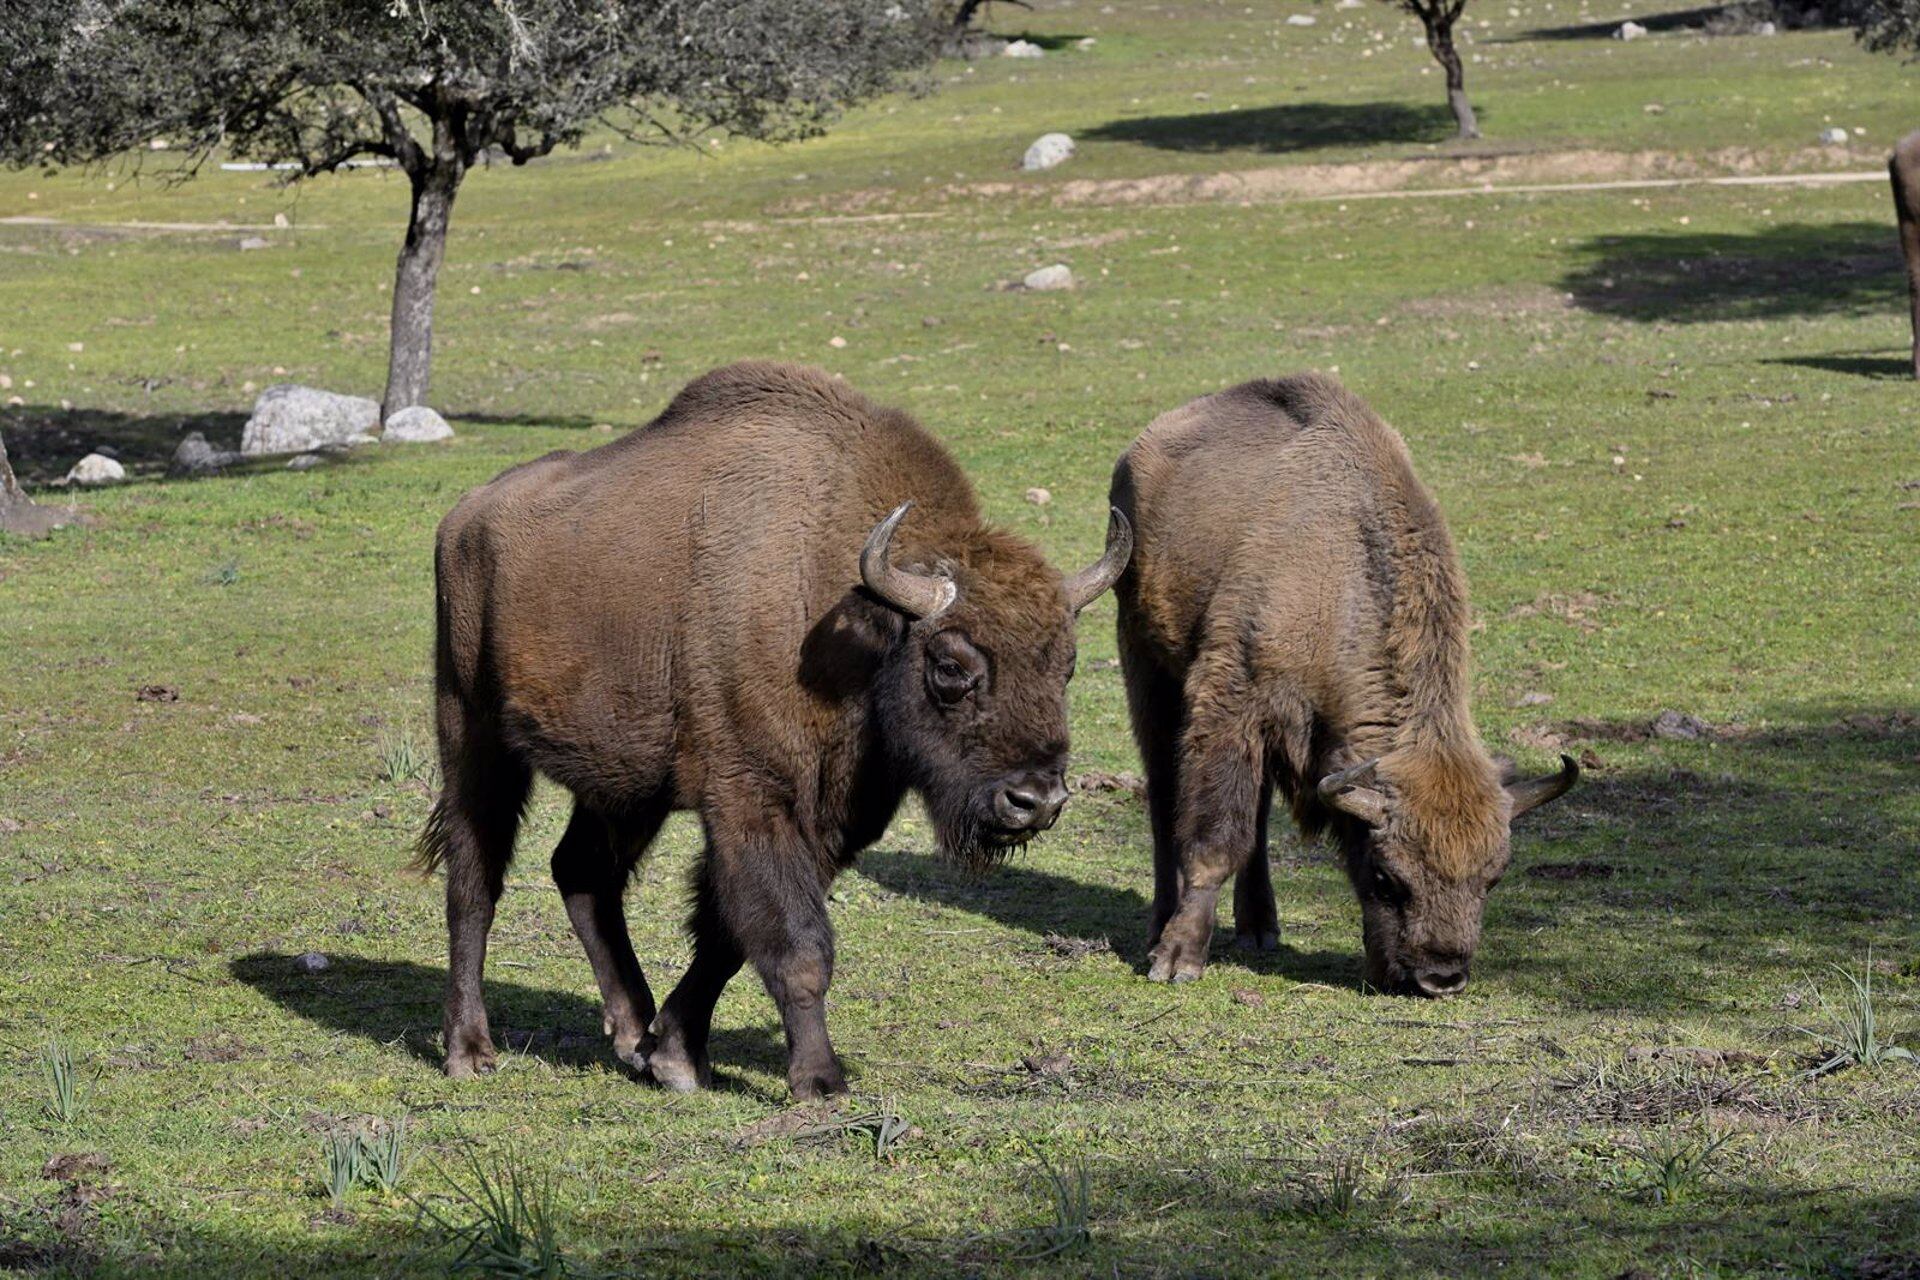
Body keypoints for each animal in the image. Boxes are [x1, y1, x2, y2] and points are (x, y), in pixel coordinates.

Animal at [420, 362, 1128, 1105]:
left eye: (1066, 664)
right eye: (951, 667)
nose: (1036, 800)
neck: (847, 610)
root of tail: (464, 518)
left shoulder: (830, 819)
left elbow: (726, 935)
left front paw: (674, 1056)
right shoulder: (752, 801)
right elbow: (796, 943)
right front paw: (819, 1081)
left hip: (625, 781)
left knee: (583, 871)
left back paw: (630, 1033)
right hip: (473, 733)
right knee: (473, 882)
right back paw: (470, 1050)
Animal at [1113, 376, 1574, 997]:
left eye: (1493, 878)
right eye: (1386, 877)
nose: (1441, 976)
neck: (1338, 591)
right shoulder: (1232, 705)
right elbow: (1215, 839)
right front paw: (1178, 960)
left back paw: (1260, 928)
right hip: (1146, 663)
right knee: (1164, 797)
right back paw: (1162, 925)